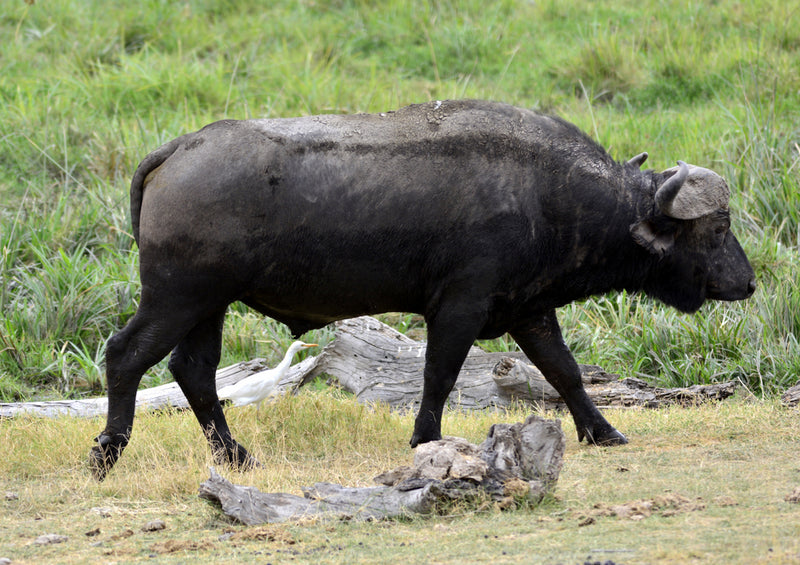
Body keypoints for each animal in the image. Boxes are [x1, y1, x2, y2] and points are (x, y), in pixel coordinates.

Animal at [87, 99, 756, 478]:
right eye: (718, 228)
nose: (748, 282)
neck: (544, 191)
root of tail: (180, 148)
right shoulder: (459, 307)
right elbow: (439, 374)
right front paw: (426, 440)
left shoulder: (530, 310)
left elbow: (564, 373)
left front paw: (603, 431)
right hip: (177, 298)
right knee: (125, 356)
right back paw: (107, 453)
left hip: (207, 306)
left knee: (194, 371)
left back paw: (235, 456)